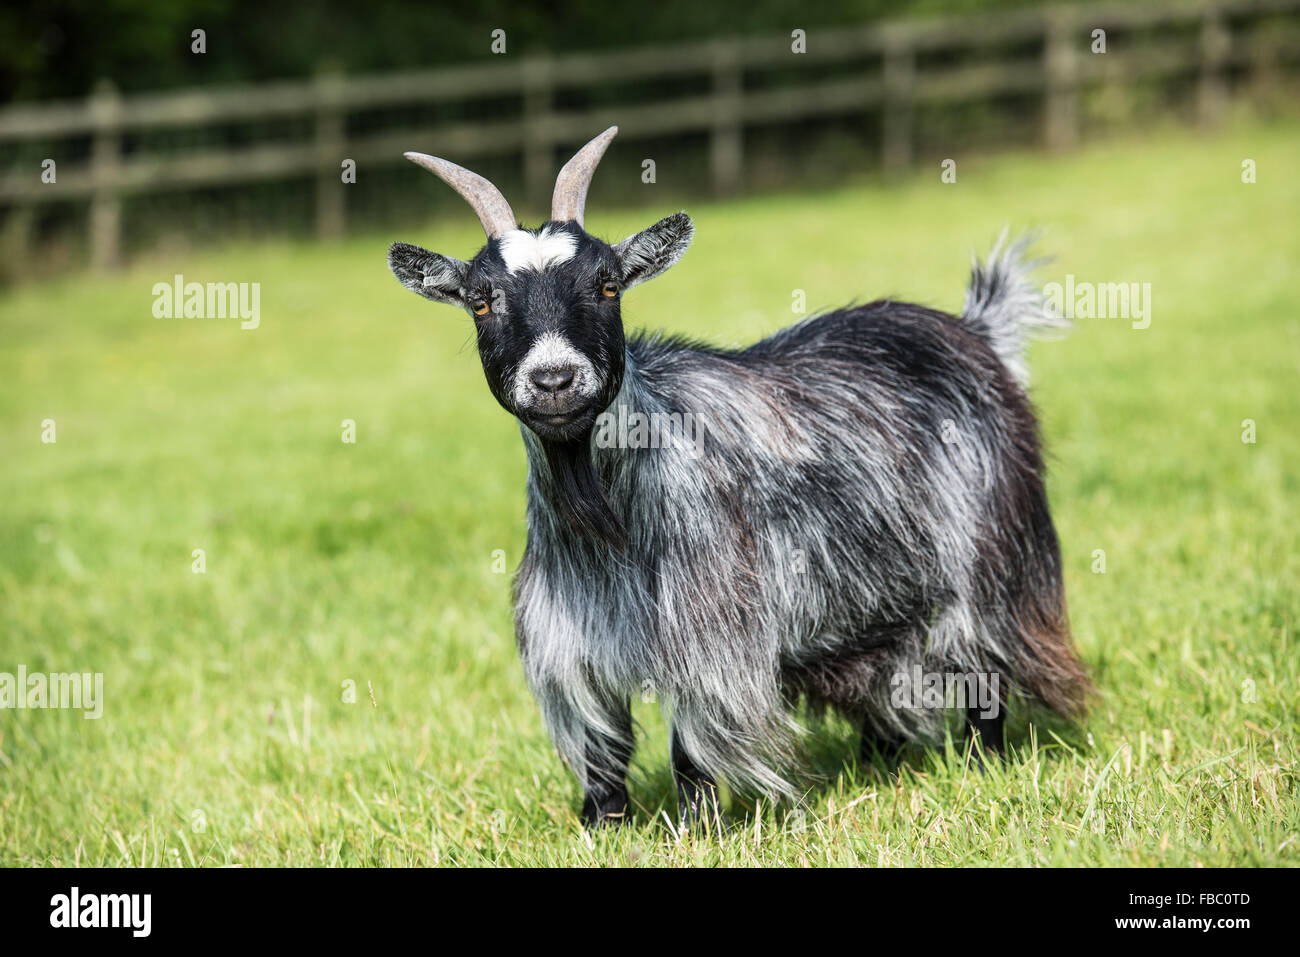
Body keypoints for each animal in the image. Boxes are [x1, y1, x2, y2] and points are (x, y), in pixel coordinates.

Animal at [384, 128, 1086, 832]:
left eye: (607, 285)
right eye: (482, 299)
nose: (554, 379)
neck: (605, 519)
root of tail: (975, 329)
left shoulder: (712, 637)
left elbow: (689, 751)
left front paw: (698, 831)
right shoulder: (569, 650)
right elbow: (603, 756)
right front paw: (600, 830)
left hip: (990, 560)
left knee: (984, 671)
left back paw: (983, 763)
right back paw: (876, 760)